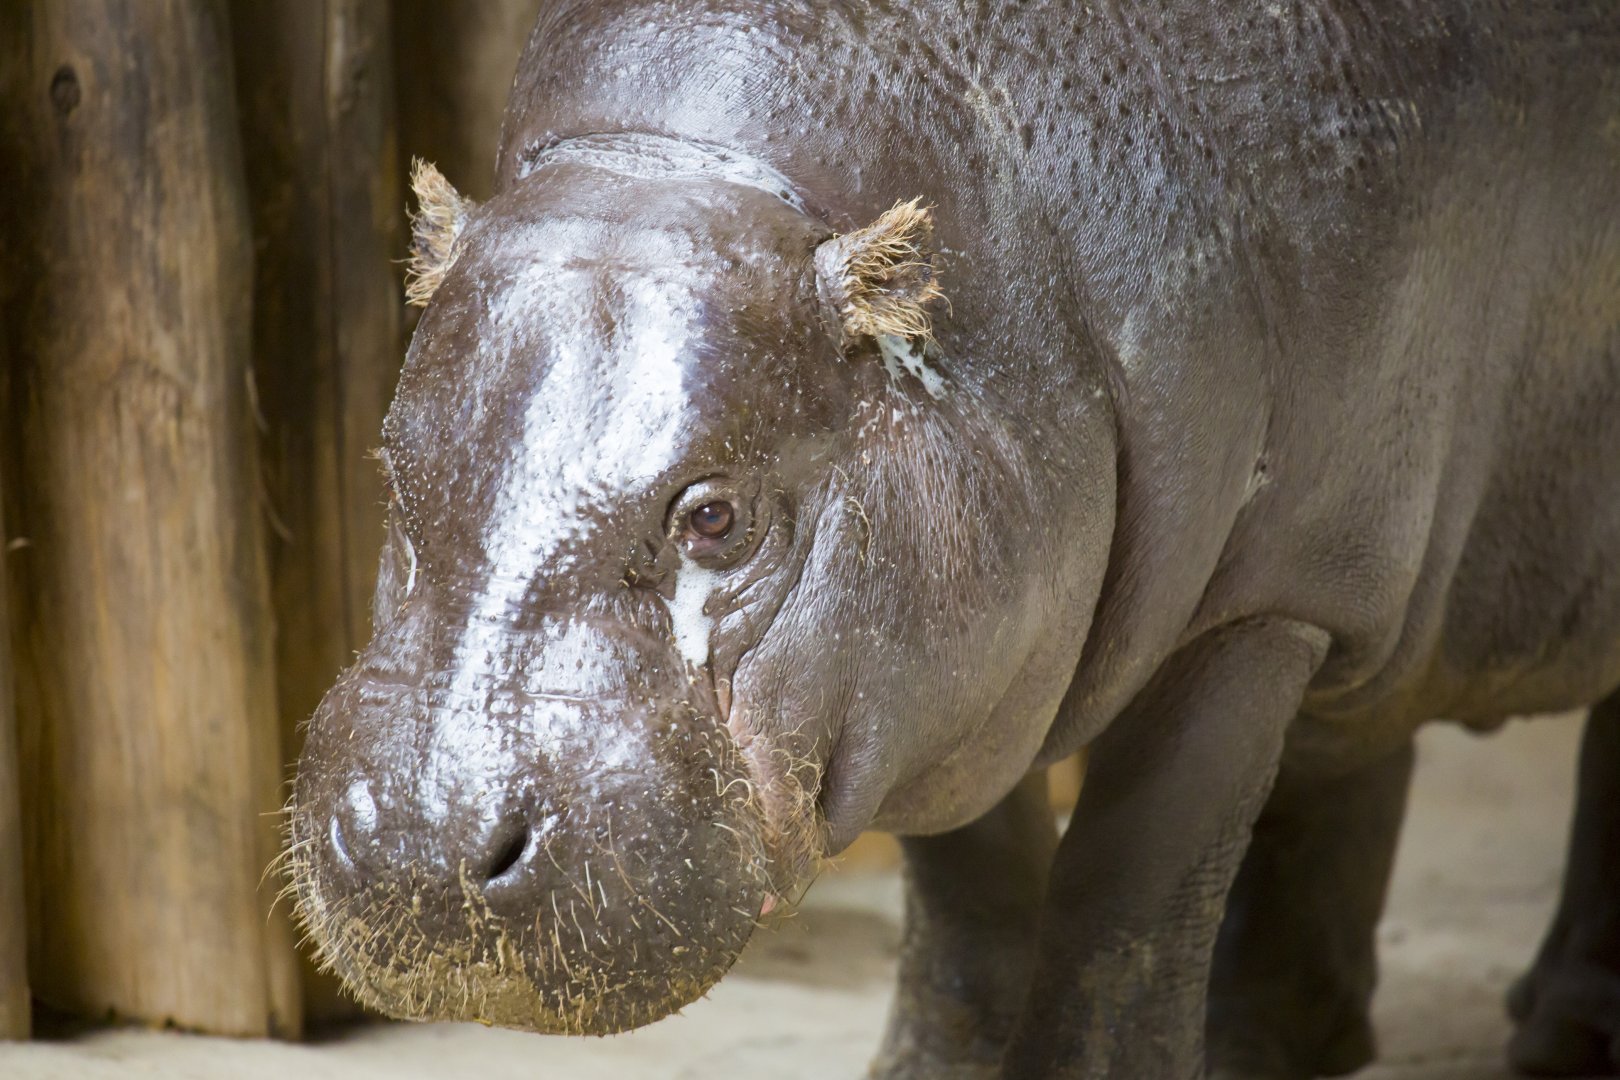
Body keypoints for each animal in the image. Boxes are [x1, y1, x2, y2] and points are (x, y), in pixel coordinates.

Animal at [287, 2, 1620, 1076]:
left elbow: (1129, 894)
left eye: (716, 515)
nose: (416, 848)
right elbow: (969, 887)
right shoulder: (952, 662)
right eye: (390, 465)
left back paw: (1559, 1038)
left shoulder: (1265, 605)